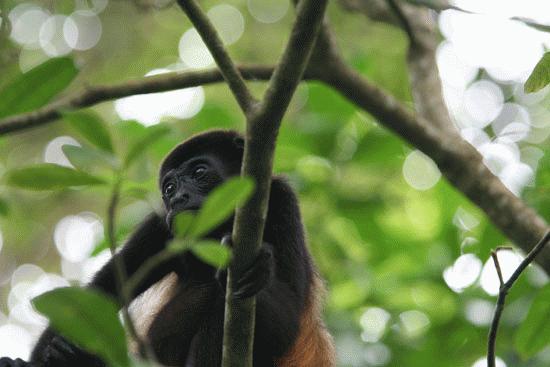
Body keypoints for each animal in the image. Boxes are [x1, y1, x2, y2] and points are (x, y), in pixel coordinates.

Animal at [0, 129, 336, 367]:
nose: (177, 199)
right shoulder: (160, 226)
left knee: (214, 300)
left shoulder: (282, 202)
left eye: (199, 173)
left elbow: (289, 319)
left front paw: (258, 269)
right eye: (169, 187)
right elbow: (100, 291)